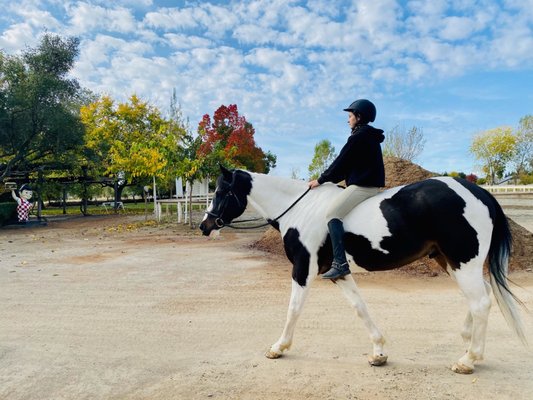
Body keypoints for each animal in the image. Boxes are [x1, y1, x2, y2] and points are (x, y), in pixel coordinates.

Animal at [201, 166, 528, 376]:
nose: (205, 225)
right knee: (482, 296)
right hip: (450, 261)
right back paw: (468, 343)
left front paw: (278, 347)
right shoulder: (339, 273)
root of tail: (479, 192)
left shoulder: (302, 269)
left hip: (463, 262)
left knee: (481, 302)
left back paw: (468, 360)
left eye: (220, 191)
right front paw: (379, 352)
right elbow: (360, 307)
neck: (298, 210)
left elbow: (293, 308)